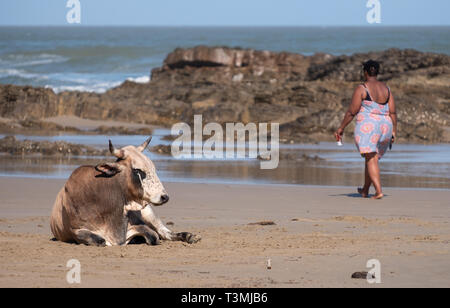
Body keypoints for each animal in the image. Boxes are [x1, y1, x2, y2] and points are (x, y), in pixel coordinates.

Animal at [48, 136, 200, 247]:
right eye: (137, 170)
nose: (164, 197)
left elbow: (153, 235)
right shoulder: (76, 230)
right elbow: (100, 241)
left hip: (148, 212)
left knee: (165, 232)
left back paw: (190, 236)